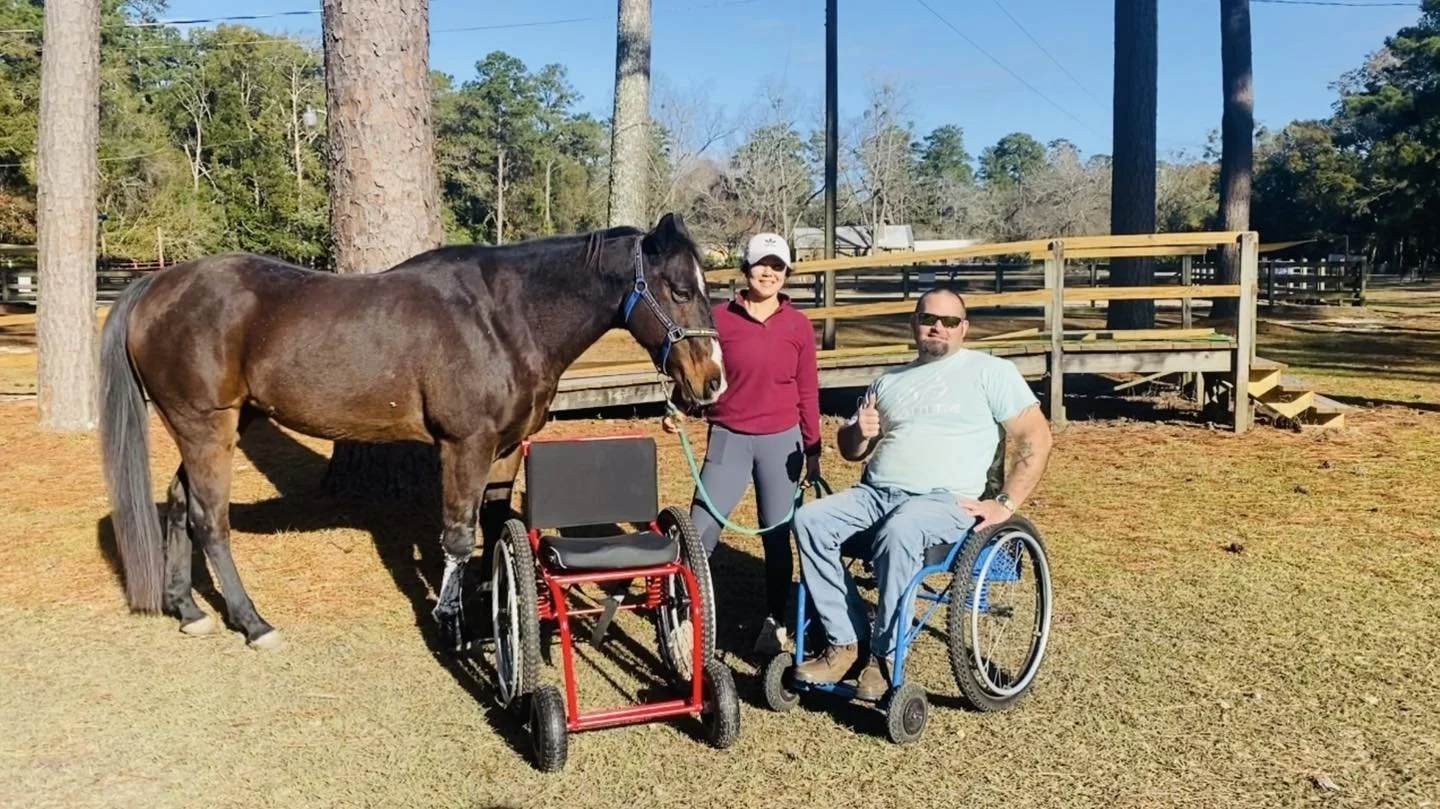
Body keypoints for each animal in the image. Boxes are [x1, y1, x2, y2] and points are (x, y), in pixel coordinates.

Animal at [99, 212, 727, 650]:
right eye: (679, 289)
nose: (714, 380)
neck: (503, 317)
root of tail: (156, 286)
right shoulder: (465, 445)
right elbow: (458, 535)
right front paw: (450, 621)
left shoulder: (504, 449)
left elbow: (495, 522)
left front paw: (495, 604)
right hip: (205, 425)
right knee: (209, 519)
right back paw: (253, 623)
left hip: (224, 422)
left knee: (179, 502)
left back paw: (188, 610)